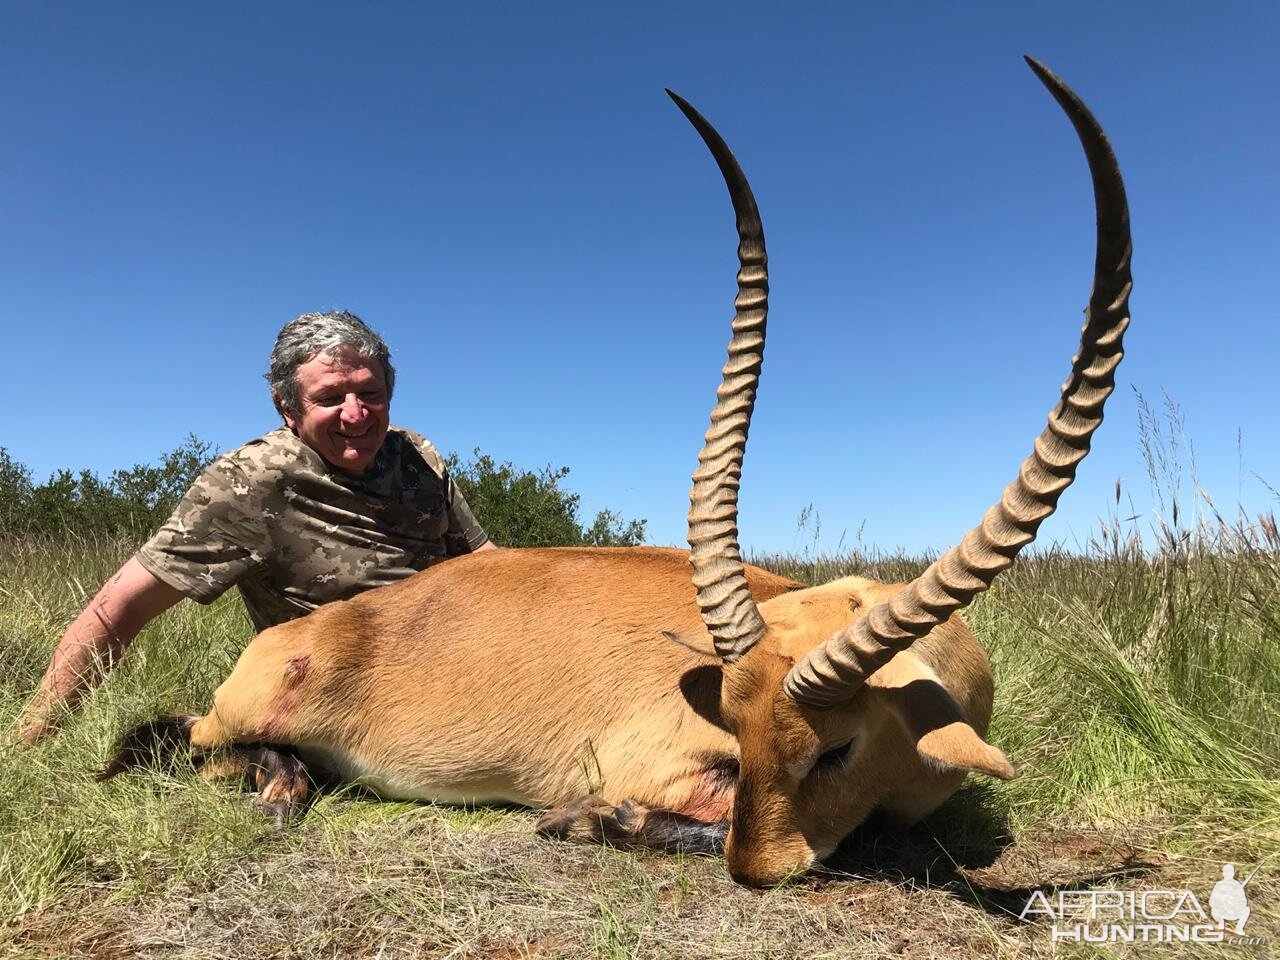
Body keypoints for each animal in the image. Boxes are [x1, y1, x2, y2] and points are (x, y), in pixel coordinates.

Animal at [107, 58, 1131, 885]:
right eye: (737, 725)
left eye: (837, 749)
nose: (761, 871)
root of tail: (302, 634)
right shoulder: (667, 764)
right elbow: (687, 814)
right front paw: (587, 818)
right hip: (237, 718)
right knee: (203, 744)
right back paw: (277, 784)